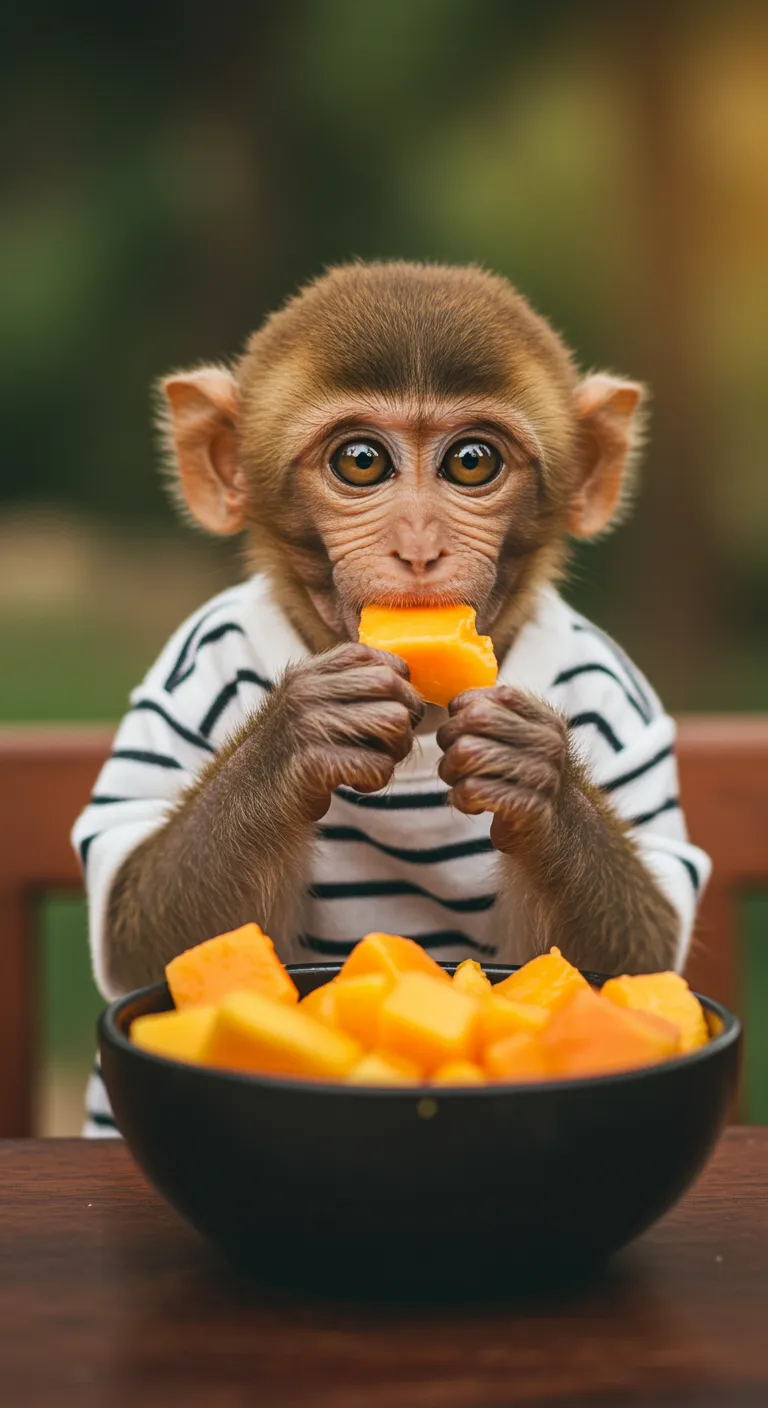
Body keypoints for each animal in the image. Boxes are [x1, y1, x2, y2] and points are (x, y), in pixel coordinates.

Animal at [73, 262, 710, 1107]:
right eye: (361, 461)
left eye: (472, 461)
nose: (417, 546)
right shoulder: (188, 672)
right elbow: (143, 937)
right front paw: (300, 736)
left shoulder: (621, 699)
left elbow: (639, 957)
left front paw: (535, 777)